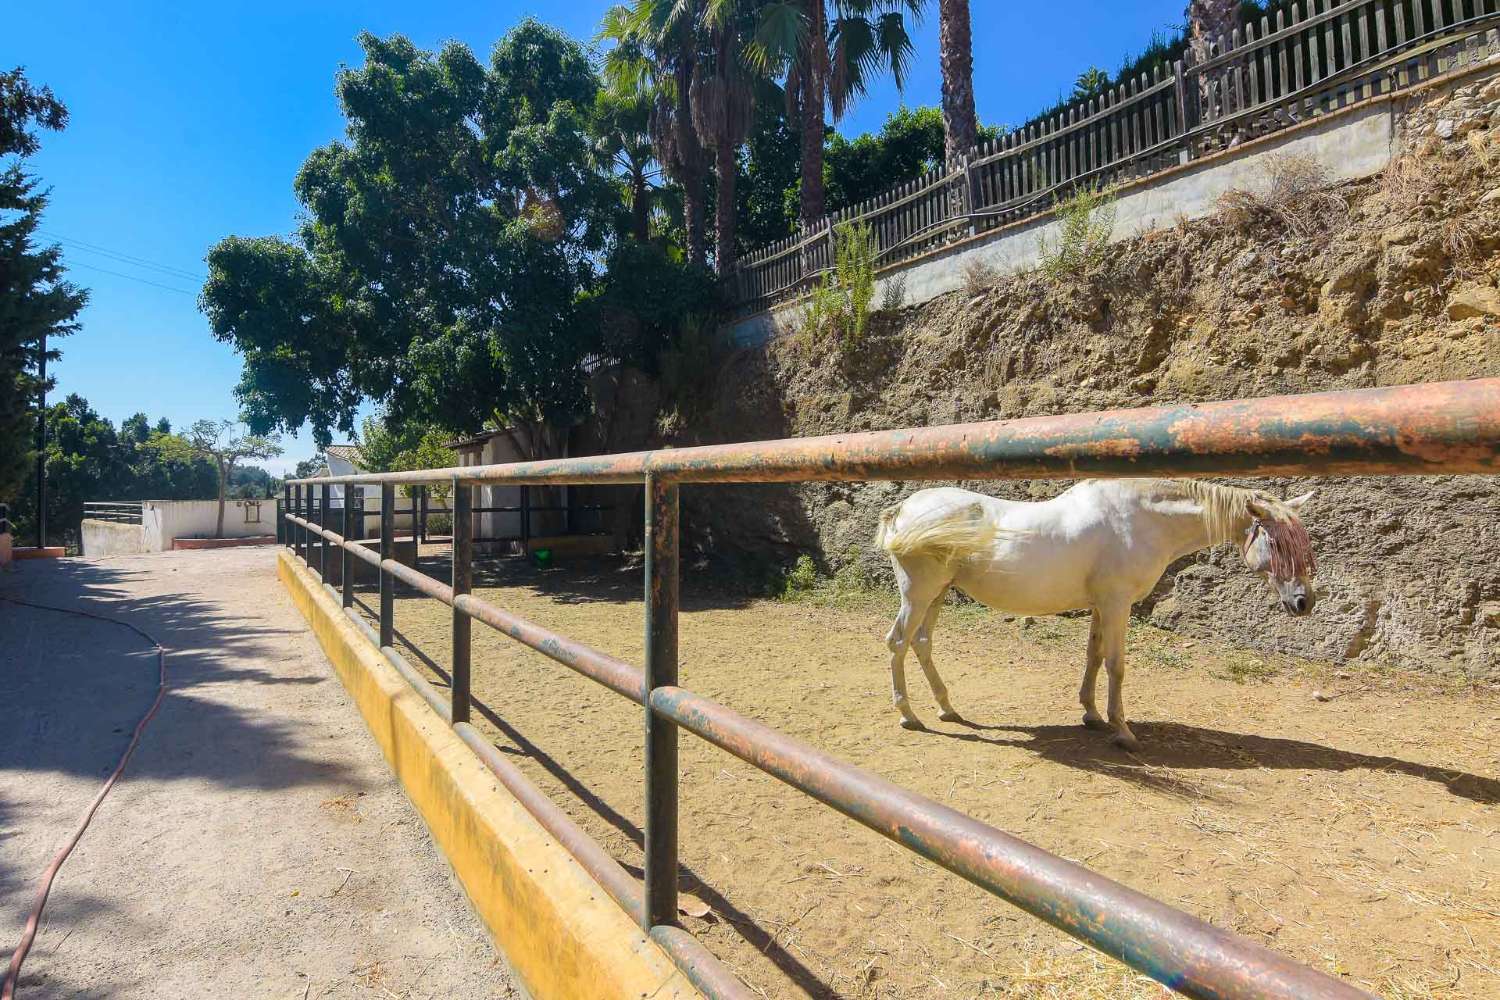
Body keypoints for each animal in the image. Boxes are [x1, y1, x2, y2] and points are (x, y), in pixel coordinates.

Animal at [876, 479, 1320, 749]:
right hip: (919, 594)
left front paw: (1090, 714)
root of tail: (904, 509)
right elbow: (1116, 665)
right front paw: (1122, 730)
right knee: (898, 642)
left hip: (937, 595)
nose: (1304, 602)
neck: (1141, 521)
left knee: (921, 643)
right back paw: (908, 715)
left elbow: (1093, 656)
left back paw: (947, 707)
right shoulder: (1116, 604)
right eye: (1276, 544)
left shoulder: (1099, 606)